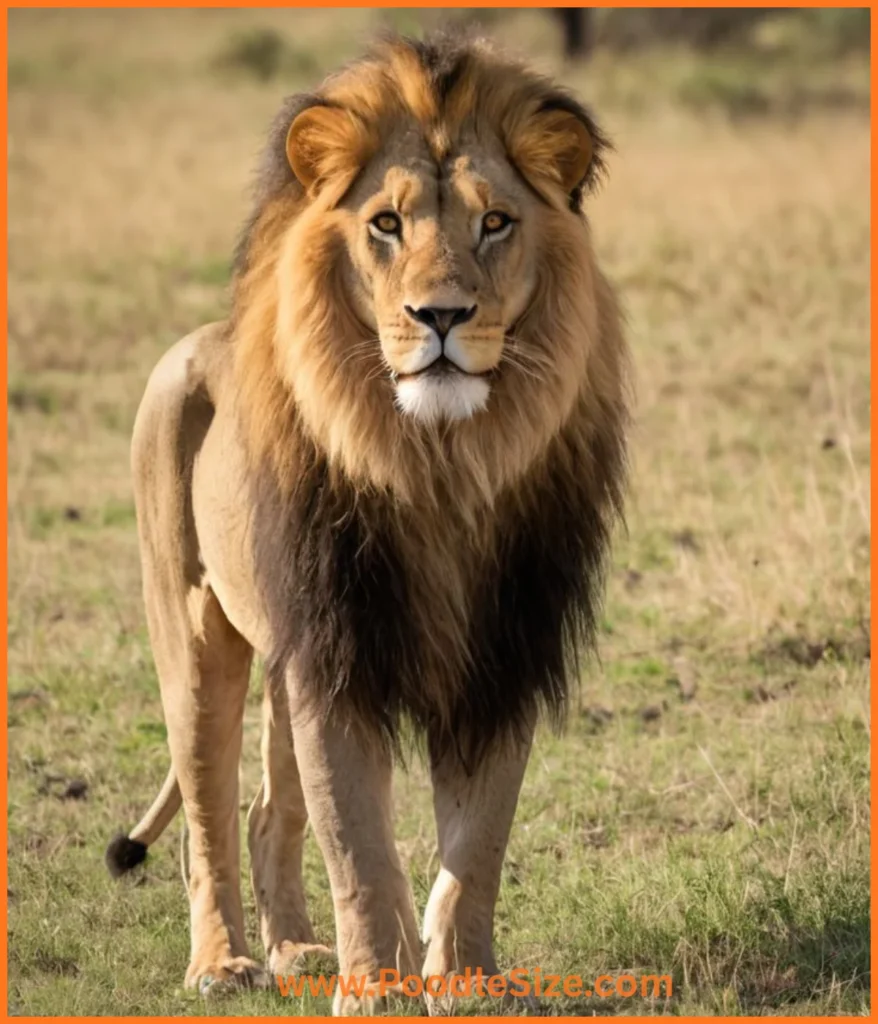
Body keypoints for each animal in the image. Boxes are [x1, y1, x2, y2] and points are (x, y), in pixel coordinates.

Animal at [105, 32, 629, 1014]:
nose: (442, 315)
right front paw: (379, 991)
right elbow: (358, 847)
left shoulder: (500, 655)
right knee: (209, 815)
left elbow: (476, 847)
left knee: (268, 811)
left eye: (495, 222)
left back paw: (296, 950)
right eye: (386, 224)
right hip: (194, 636)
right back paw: (223, 963)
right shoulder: (336, 655)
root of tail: (202, 338)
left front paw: (465, 983)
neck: (438, 463)